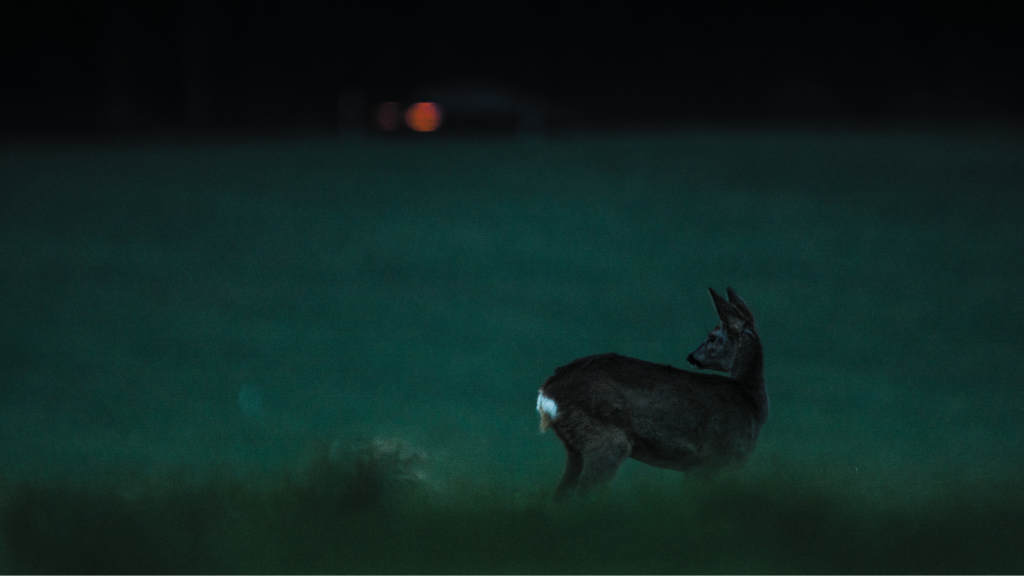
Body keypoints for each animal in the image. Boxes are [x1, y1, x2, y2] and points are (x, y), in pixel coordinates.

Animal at [536, 286, 770, 498]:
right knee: (586, 490)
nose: (692, 357)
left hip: (574, 447)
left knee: (561, 492)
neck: (751, 400)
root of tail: (547, 392)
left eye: (712, 337)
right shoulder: (711, 459)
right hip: (606, 439)